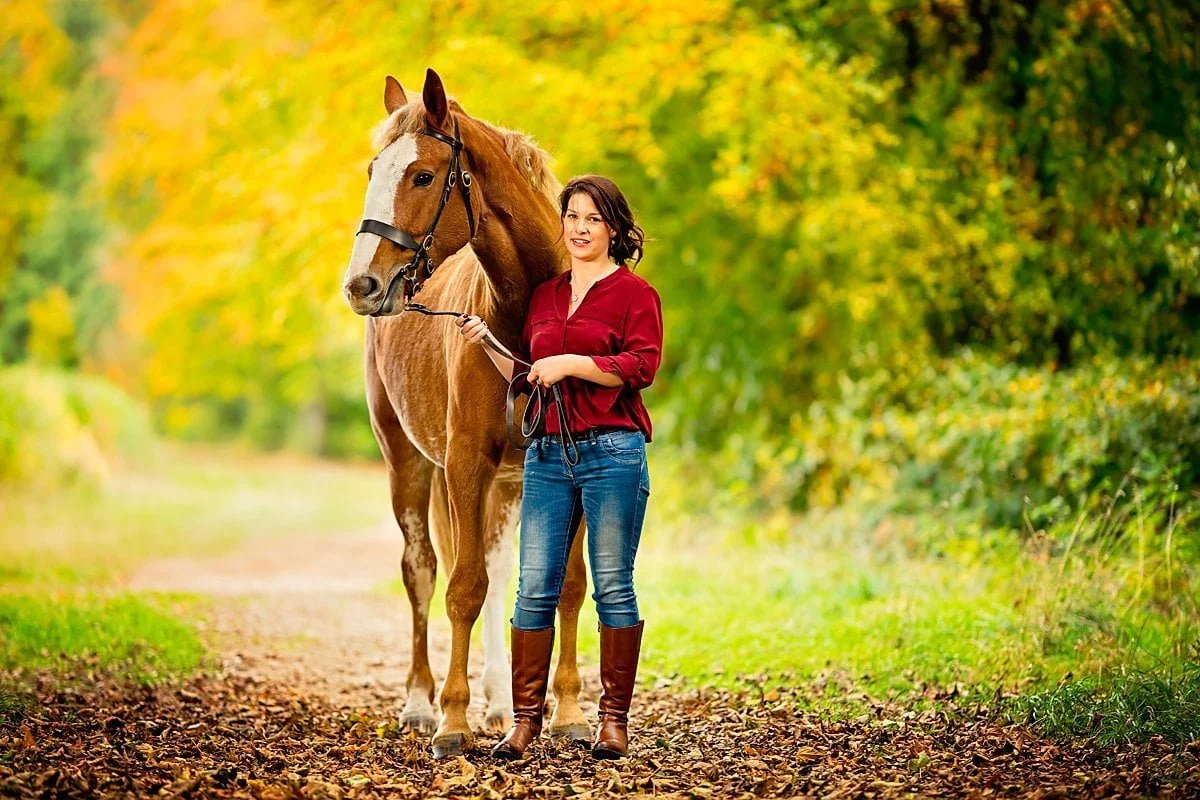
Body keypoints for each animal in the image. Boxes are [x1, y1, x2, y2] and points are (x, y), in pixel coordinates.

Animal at [342, 68, 591, 758]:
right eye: (372, 169)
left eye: (423, 176)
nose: (362, 285)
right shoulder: (463, 466)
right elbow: (462, 588)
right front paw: (452, 722)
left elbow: (562, 587)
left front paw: (566, 713)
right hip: (407, 463)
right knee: (423, 571)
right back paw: (421, 703)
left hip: (508, 484)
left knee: (503, 573)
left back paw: (502, 703)